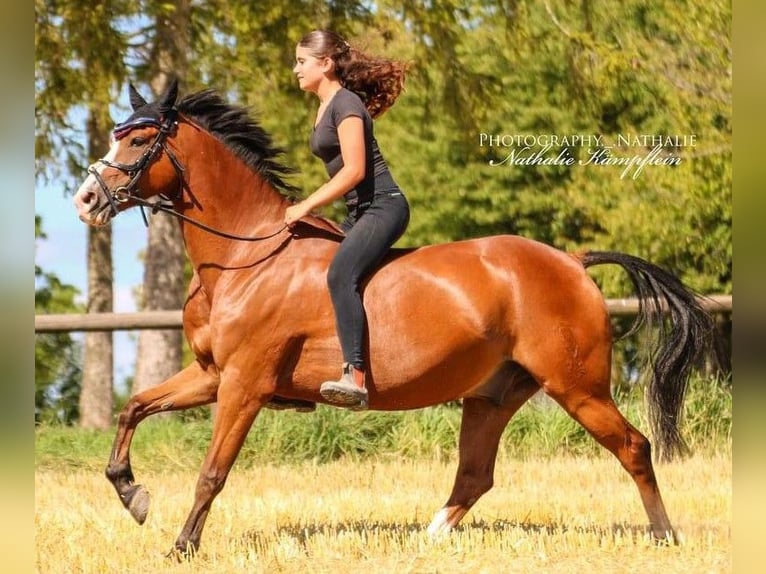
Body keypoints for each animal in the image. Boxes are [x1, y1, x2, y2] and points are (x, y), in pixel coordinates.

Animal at [72, 80, 712, 560]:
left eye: (139, 141)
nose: (85, 200)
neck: (244, 257)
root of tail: (573, 262)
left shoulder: (244, 384)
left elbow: (213, 471)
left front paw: (180, 547)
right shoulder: (211, 375)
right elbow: (134, 408)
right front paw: (132, 494)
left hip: (576, 386)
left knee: (634, 447)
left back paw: (664, 537)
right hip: (493, 394)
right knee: (476, 474)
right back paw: (427, 538)